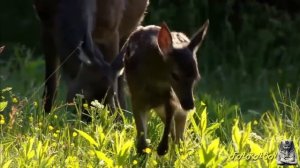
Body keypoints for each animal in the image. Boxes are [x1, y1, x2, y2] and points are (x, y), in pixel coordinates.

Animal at [124, 20, 209, 155]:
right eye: (175, 75)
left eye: (196, 77)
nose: (189, 105)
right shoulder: (137, 98)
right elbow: (142, 141)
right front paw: (144, 152)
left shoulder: (170, 97)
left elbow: (171, 118)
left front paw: (162, 148)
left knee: (179, 134)